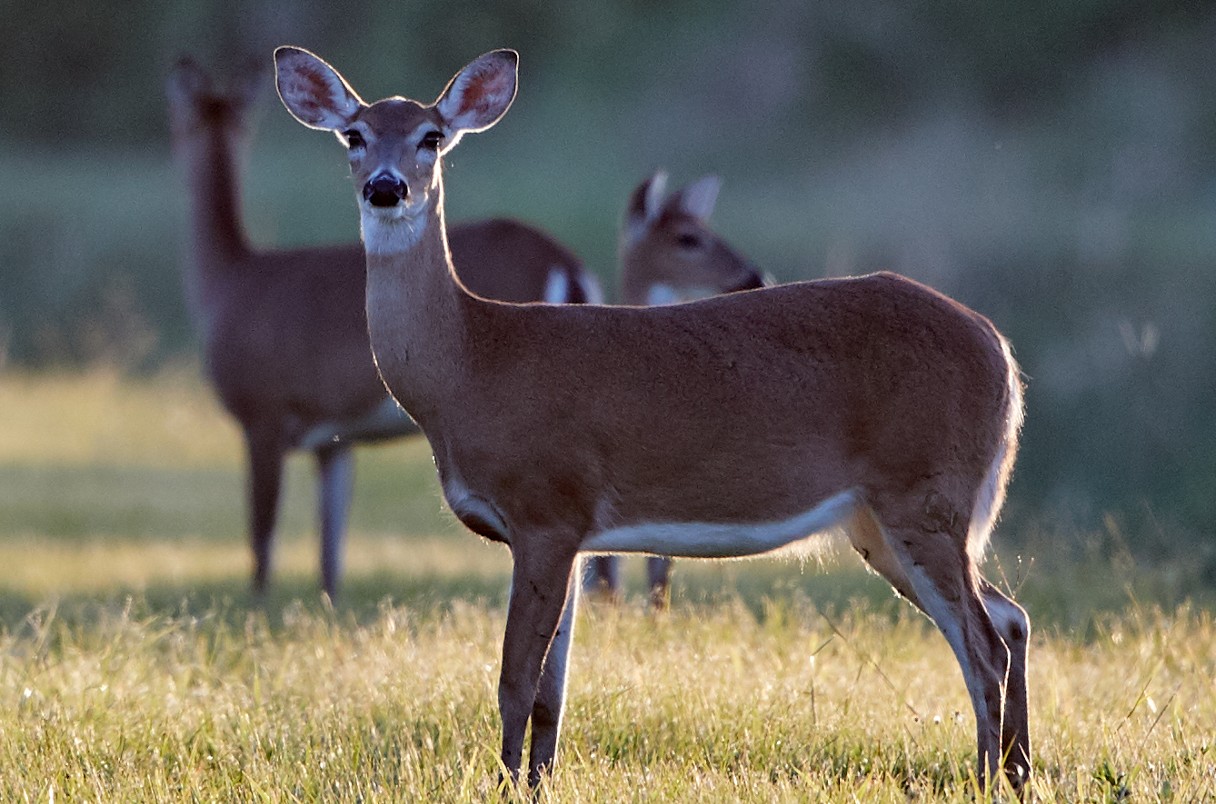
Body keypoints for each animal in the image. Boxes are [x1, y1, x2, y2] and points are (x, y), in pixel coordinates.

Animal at [164, 54, 600, 596]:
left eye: (175, 121)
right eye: (353, 135)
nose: (386, 187)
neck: (228, 281)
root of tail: (565, 261)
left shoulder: (262, 413)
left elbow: (262, 542)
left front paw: (258, 607)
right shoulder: (333, 440)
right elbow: (329, 553)